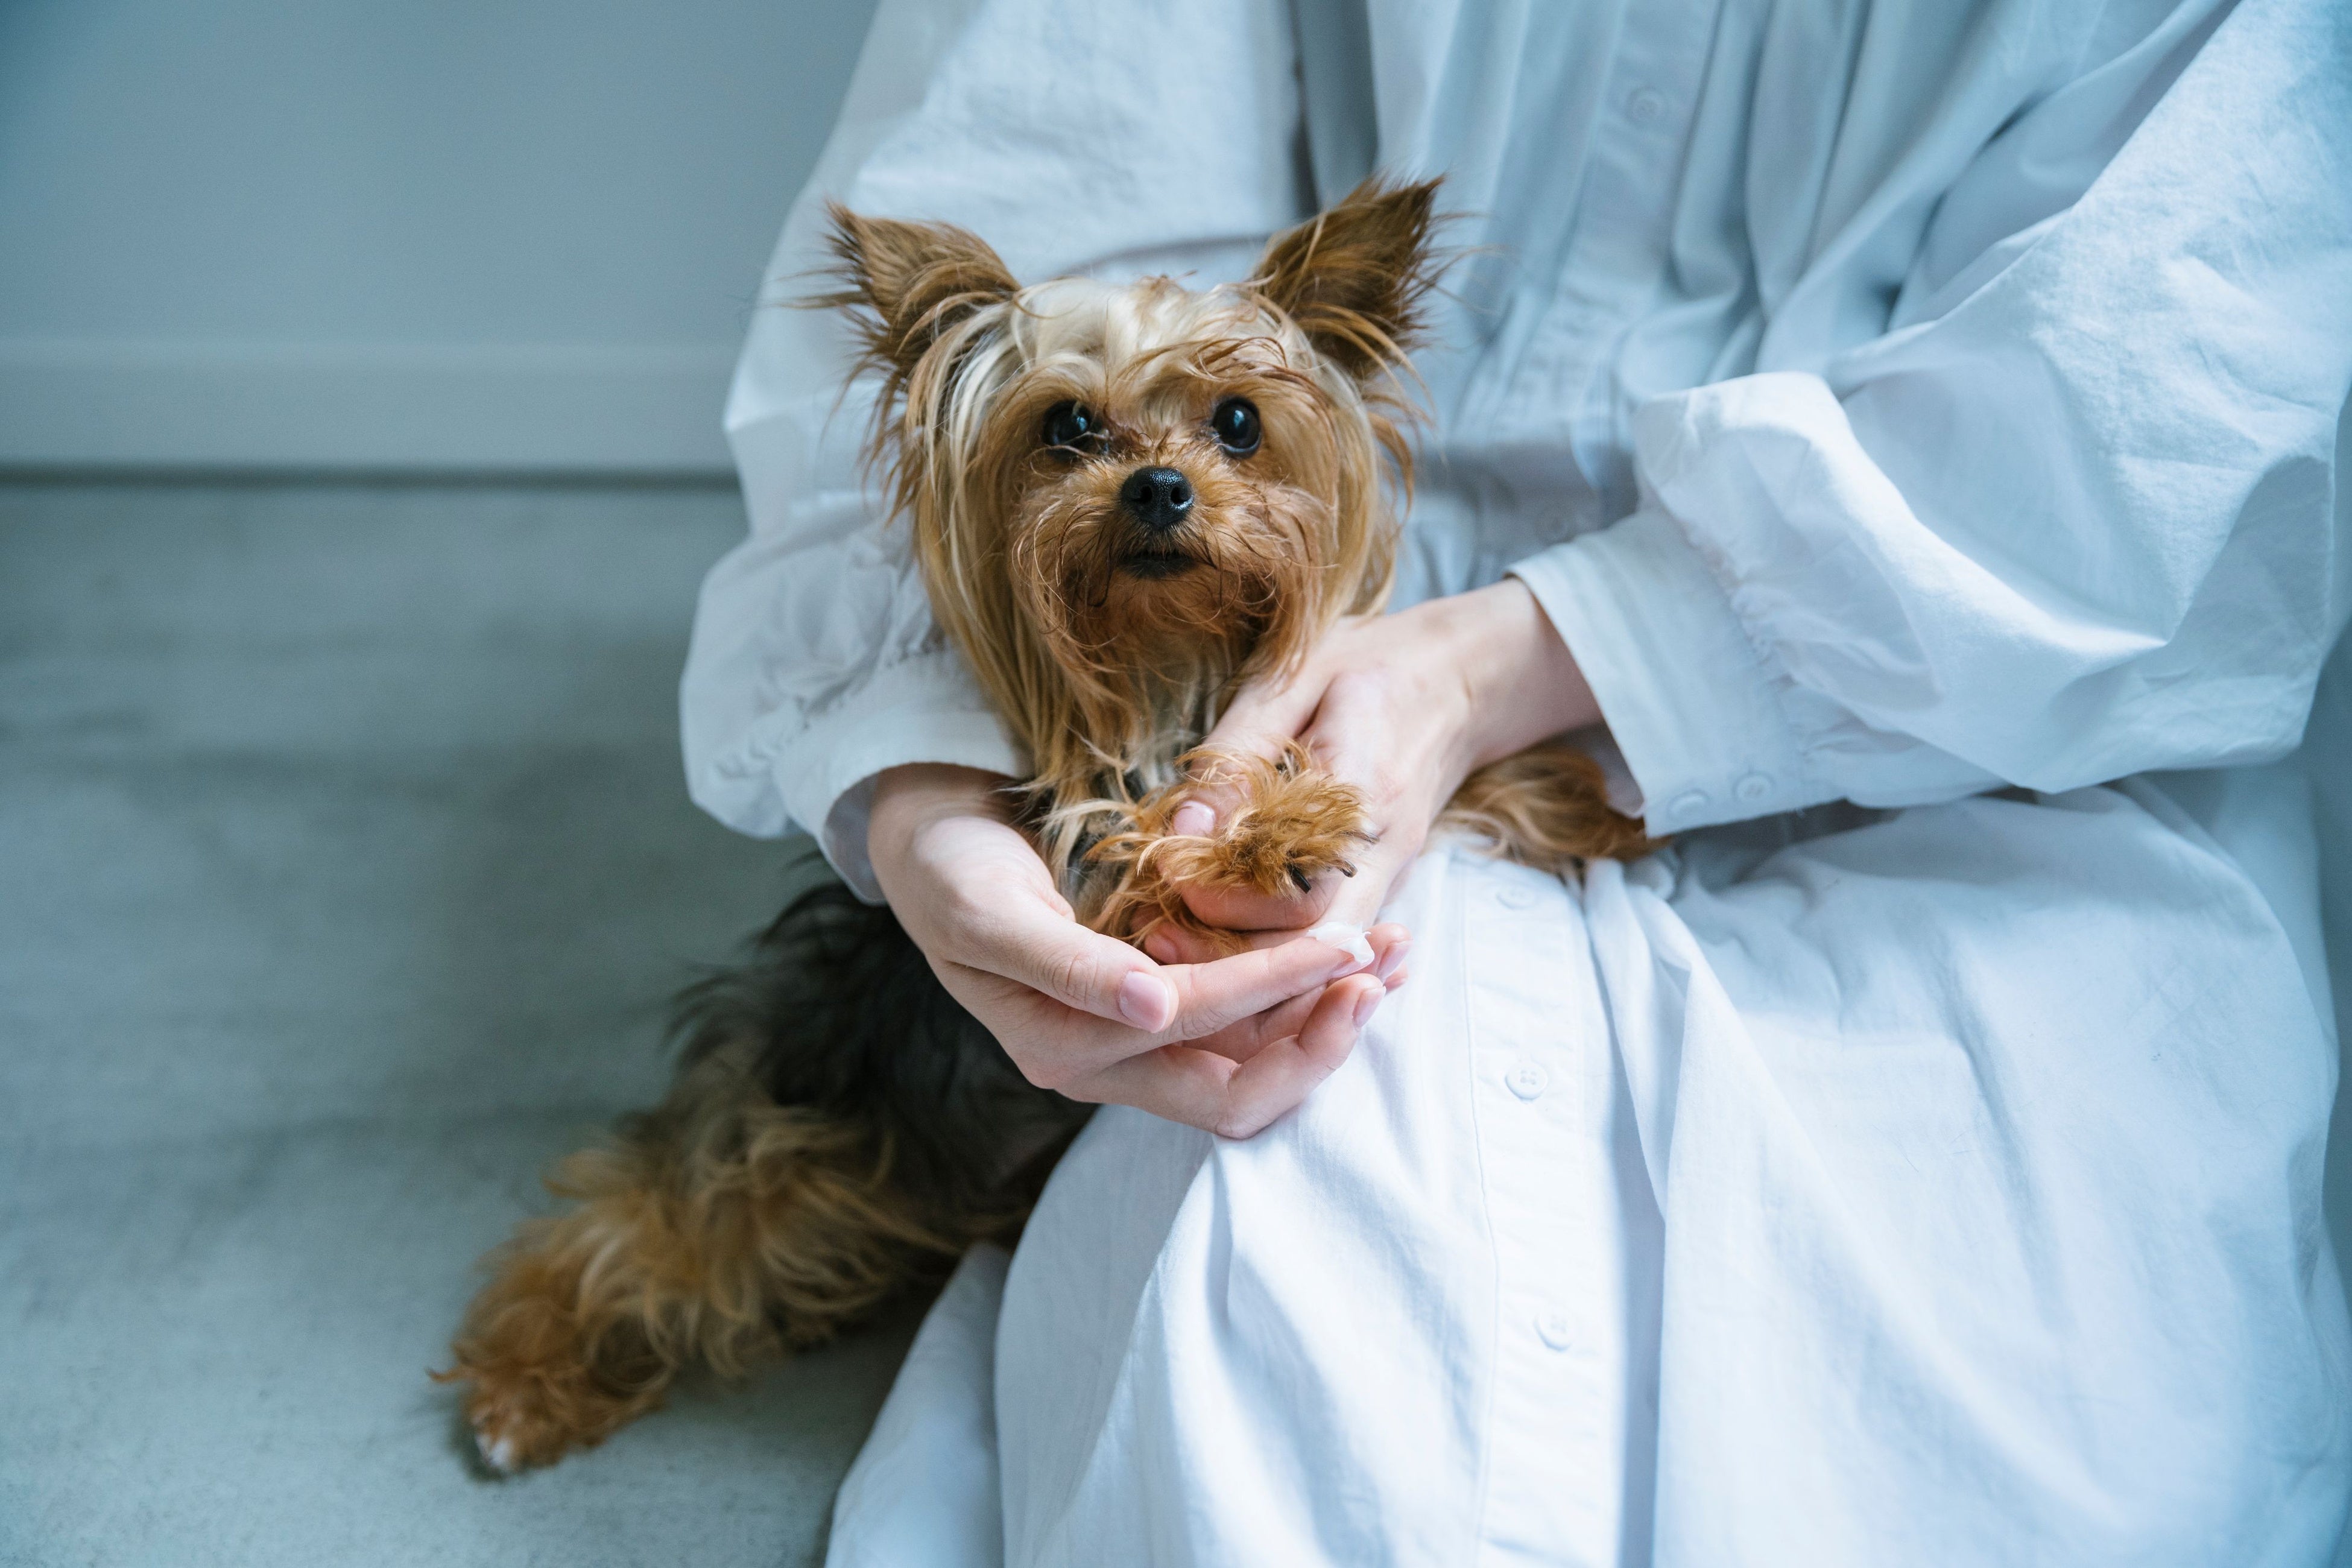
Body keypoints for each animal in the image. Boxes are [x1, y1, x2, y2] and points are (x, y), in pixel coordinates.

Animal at [441, 175, 1649, 1472]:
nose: (1158, 486)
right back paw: (523, 1388)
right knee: (637, 1231)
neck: (1166, 673)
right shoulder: (1089, 873)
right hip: (785, 1118)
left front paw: (1607, 814)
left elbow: (1478, 782)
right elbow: (1154, 846)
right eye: (1067, 427)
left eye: (1238, 422)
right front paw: (1267, 834)